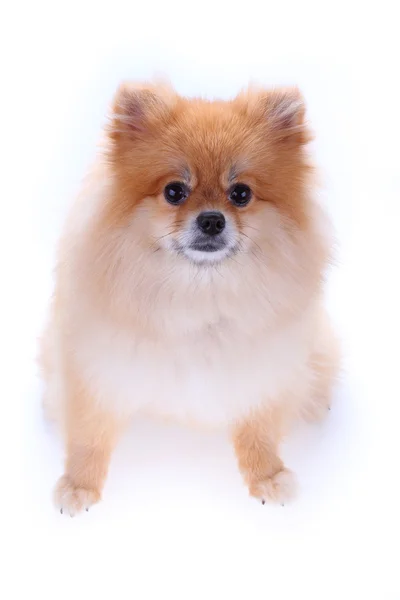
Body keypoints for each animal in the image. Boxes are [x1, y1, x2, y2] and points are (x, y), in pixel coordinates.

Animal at [40, 81, 340, 516]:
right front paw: (79, 485)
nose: (212, 219)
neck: (199, 291)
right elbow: (89, 432)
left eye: (241, 193)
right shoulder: (96, 362)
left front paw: (267, 476)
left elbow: (259, 428)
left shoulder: (264, 366)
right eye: (174, 192)